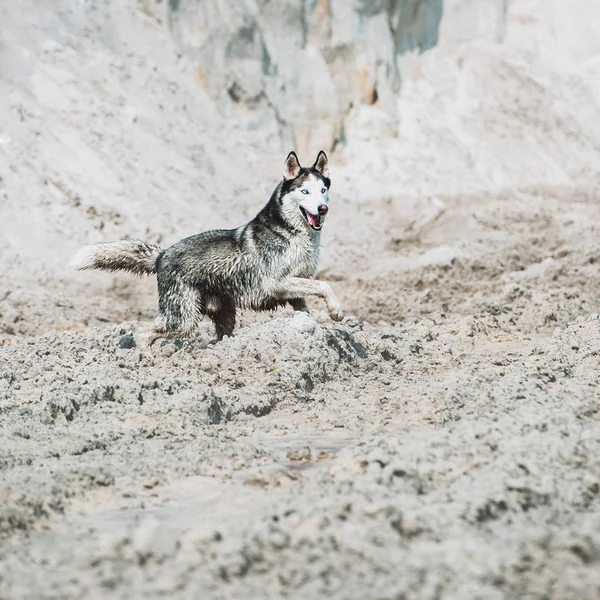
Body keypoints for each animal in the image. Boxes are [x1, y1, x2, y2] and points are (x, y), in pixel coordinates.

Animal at [71, 150, 342, 346]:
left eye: (323, 190)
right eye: (305, 191)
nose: (323, 209)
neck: (290, 231)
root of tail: (161, 255)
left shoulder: (294, 288)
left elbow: (307, 305)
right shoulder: (276, 282)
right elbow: (323, 285)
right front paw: (336, 310)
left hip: (221, 314)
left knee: (218, 336)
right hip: (182, 318)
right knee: (144, 333)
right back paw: (146, 358)